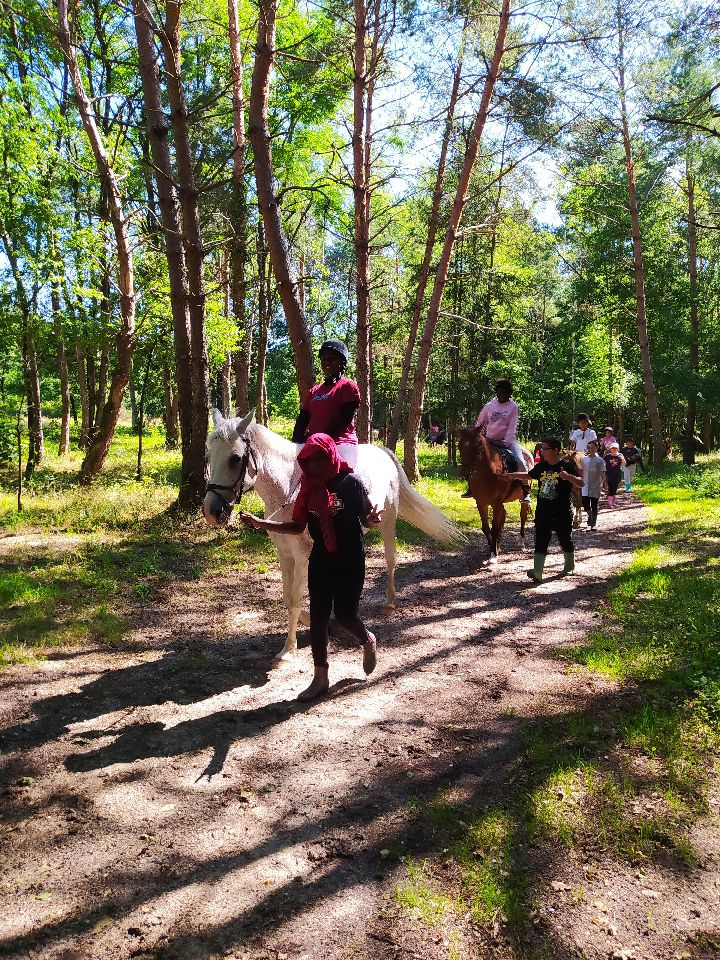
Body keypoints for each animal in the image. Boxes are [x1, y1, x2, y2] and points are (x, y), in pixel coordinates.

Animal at [204, 408, 462, 664]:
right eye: (208, 456)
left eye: (235, 458)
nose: (211, 512)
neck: (287, 485)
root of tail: (383, 452)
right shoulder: (284, 553)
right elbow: (288, 596)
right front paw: (311, 622)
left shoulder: (301, 555)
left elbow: (295, 599)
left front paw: (288, 649)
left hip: (388, 521)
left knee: (391, 559)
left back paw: (389, 602)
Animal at [458, 428, 532, 564]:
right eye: (459, 445)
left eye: (476, 446)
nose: (464, 473)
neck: (488, 473)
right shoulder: (481, 503)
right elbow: (486, 528)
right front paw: (493, 550)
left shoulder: (496, 502)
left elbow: (495, 528)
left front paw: (493, 556)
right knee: (504, 515)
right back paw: (498, 544)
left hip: (521, 499)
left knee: (522, 516)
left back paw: (521, 542)